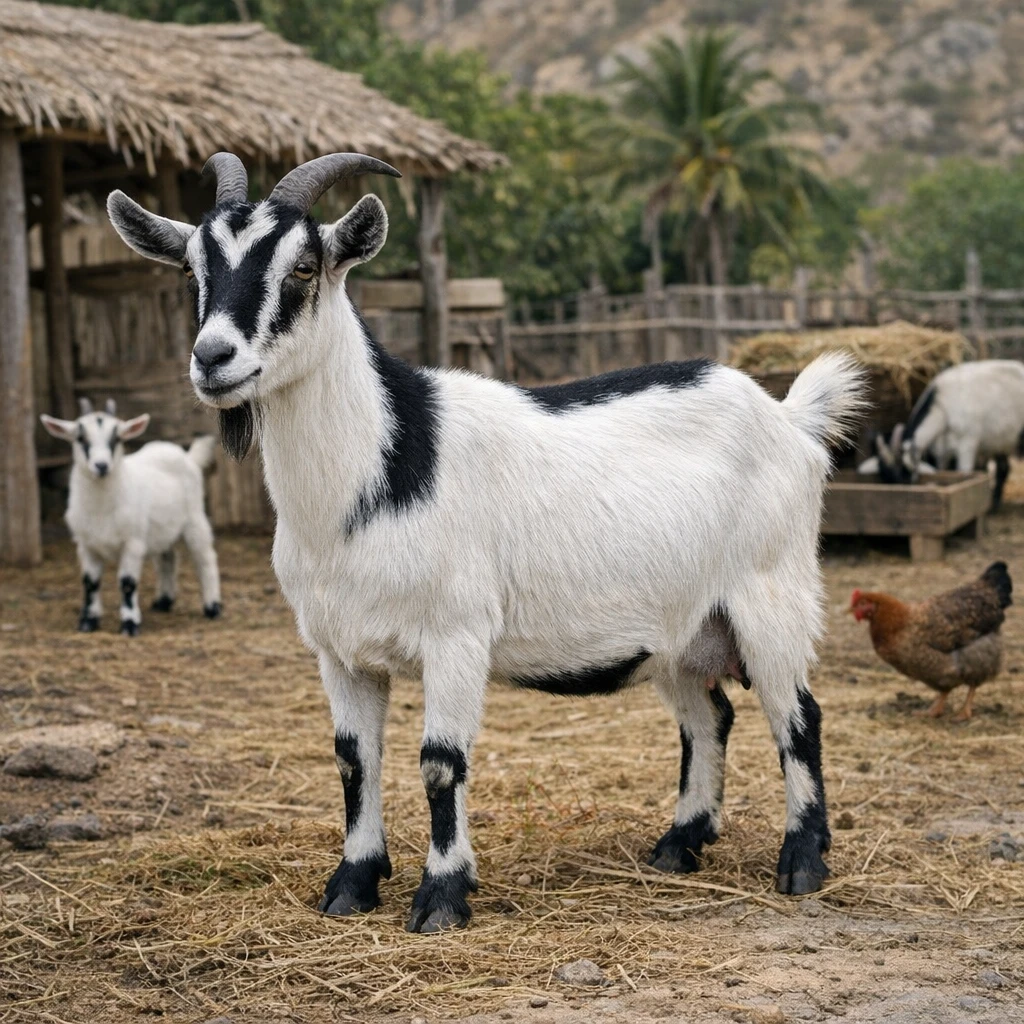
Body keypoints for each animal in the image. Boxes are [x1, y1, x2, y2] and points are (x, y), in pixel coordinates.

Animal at [41, 399, 222, 634]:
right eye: (80, 438)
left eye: (117, 438)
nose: (101, 466)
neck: (102, 510)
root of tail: (187, 456)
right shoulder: (85, 544)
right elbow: (90, 582)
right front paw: (88, 621)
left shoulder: (133, 542)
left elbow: (127, 583)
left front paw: (129, 623)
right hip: (160, 528)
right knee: (167, 557)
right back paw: (163, 601)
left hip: (194, 518)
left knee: (205, 558)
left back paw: (212, 607)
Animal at [108, 152, 868, 932]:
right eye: (192, 270)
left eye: (304, 268)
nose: (213, 357)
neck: (382, 467)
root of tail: (788, 417)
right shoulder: (337, 648)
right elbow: (353, 759)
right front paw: (352, 883)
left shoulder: (456, 633)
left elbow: (440, 761)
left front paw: (442, 897)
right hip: (682, 627)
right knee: (709, 715)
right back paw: (679, 844)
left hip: (771, 590)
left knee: (798, 715)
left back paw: (802, 861)